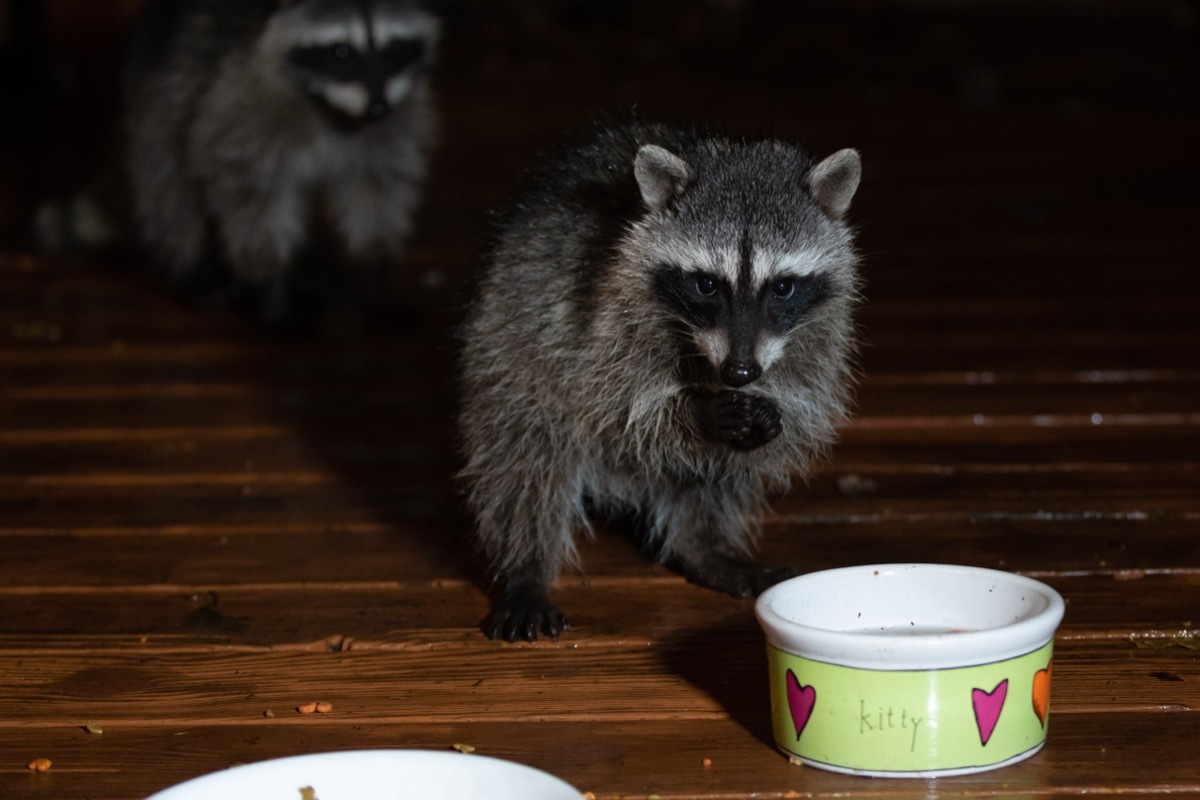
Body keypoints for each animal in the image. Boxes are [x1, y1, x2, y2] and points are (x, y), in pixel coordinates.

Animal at [36, 0, 441, 328]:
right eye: (341, 52)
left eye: (395, 48)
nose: (378, 108)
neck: (331, 108)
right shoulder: (238, 100)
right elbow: (247, 189)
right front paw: (270, 286)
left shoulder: (393, 123)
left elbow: (378, 184)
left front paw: (375, 269)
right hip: (156, 95)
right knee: (168, 184)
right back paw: (191, 270)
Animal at [458, 122, 864, 642]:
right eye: (707, 284)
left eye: (783, 286)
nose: (740, 374)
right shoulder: (602, 310)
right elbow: (613, 408)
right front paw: (697, 413)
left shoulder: (820, 327)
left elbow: (802, 398)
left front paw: (773, 413)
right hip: (507, 342)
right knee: (527, 455)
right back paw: (525, 568)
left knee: (712, 479)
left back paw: (705, 546)